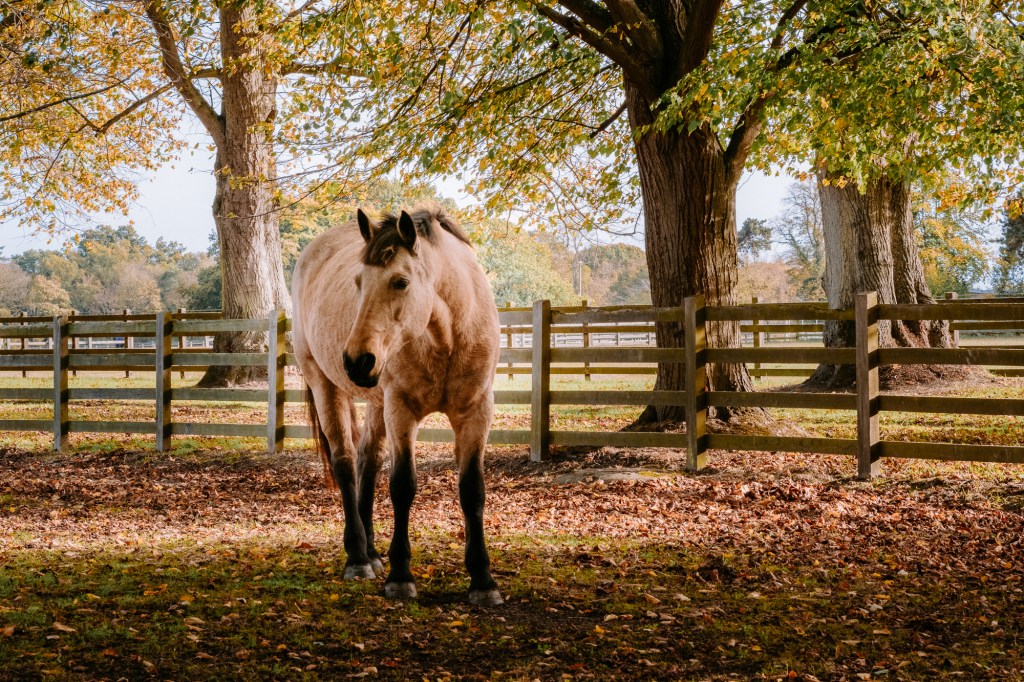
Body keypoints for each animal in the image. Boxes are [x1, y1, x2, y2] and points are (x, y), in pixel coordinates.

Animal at [291, 203, 503, 606]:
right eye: (358, 282)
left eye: (400, 282)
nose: (356, 360)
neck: (447, 337)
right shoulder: (402, 411)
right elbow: (403, 485)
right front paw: (401, 576)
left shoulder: (476, 412)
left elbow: (472, 490)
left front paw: (483, 579)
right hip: (325, 385)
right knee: (345, 463)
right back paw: (358, 557)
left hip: (376, 402)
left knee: (367, 460)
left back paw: (372, 552)